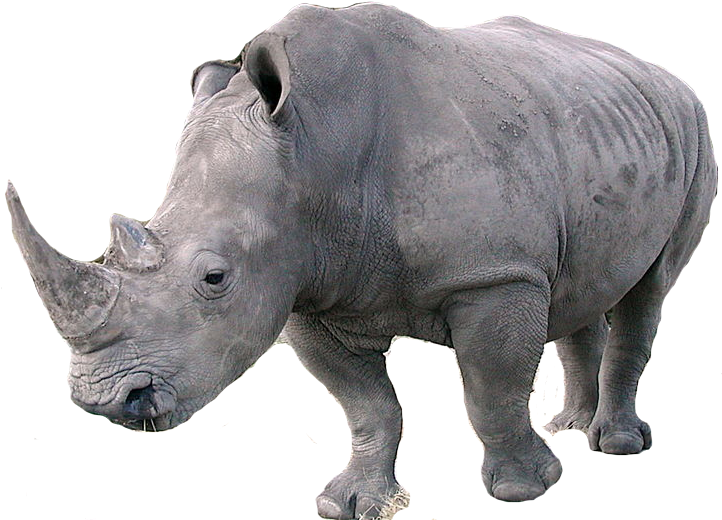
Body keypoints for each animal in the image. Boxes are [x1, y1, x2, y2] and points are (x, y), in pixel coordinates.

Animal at [8, 2, 716, 516]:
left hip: (693, 131)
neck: (316, 148)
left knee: (649, 291)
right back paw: (571, 424)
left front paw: (525, 489)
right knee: (582, 286)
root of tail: (659, 73)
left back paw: (616, 444)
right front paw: (353, 503)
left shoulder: (494, 276)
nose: (105, 402)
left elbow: (490, 388)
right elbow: (366, 404)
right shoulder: (306, 287)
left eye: (214, 278)